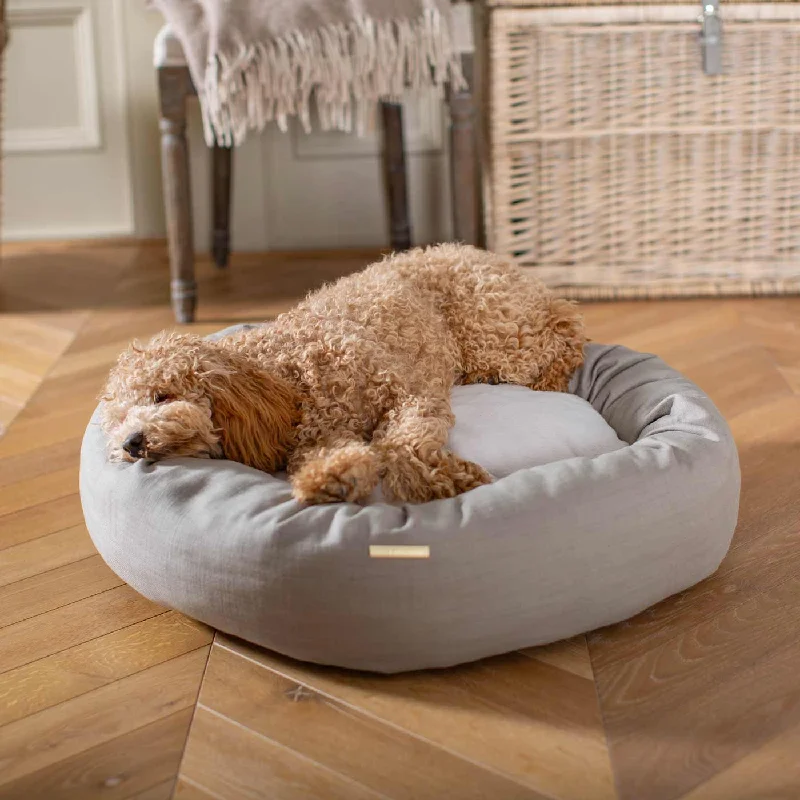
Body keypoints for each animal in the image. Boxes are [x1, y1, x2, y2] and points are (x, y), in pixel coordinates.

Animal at [101, 247, 588, 504]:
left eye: (162, 395)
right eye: (120, 420)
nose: (131, 443)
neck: (290, 376)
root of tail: (475, 251)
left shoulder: (410, 394)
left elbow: (398, 445)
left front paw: (437, 481)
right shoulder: (318, 437)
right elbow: (330, 459)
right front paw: (332, 479)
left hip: (498, 334)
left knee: (564, 329)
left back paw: (552, 374)